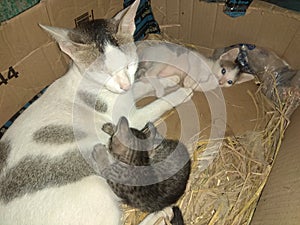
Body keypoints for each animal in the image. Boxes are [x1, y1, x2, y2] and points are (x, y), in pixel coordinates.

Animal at [0, 0, 192, 224]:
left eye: (129, 65)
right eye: (104, 73)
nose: (124, 85)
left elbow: (143, 84)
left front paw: (167, 80)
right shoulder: (132, 117)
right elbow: (156, 104)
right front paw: (181, 92)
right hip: (97, 192)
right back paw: (161, 212)